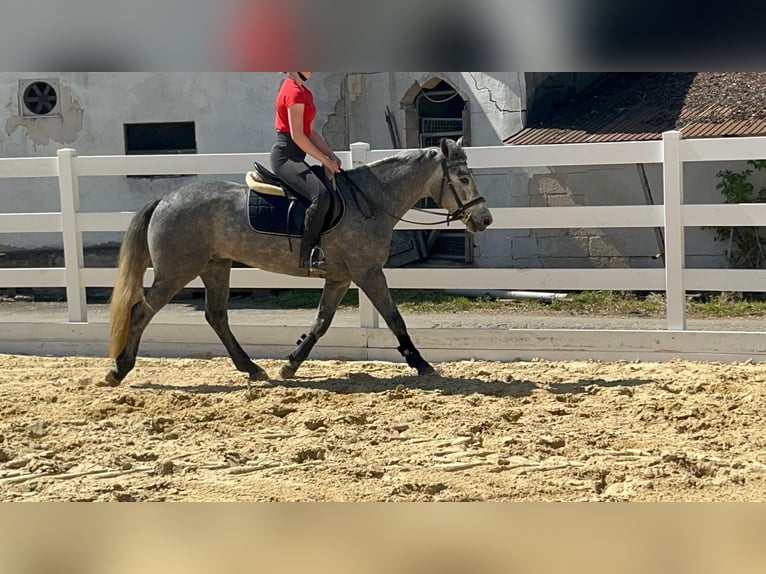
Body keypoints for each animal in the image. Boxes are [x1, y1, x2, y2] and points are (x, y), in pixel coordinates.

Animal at [105, 137, 493, 386]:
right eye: (463, 178)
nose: (485, 219)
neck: (371, 200)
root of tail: (165, 199)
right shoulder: (368, 272)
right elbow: (393, 317)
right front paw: (421, 363)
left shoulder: (340, 278)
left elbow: (321, 322)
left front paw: (290, 365)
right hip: (176, 272)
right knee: (141, 312)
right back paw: (119, 369)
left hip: (215, 267)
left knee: (216, 316)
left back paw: (252, 369)